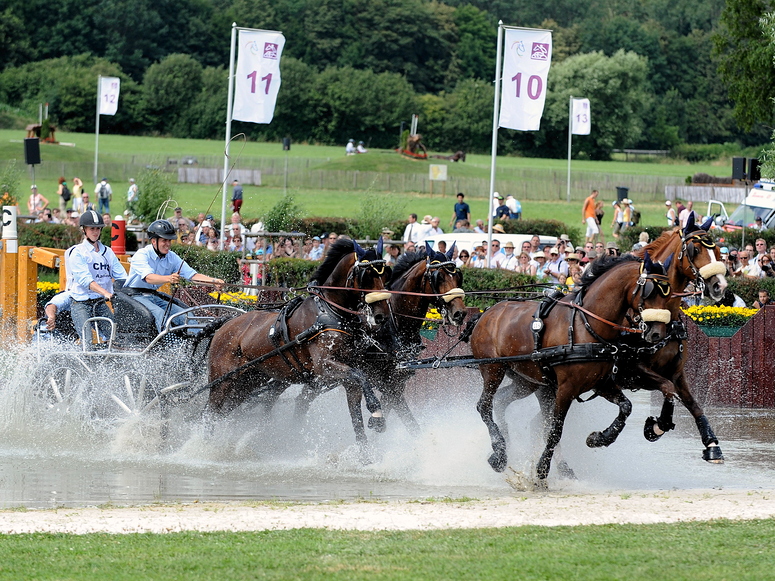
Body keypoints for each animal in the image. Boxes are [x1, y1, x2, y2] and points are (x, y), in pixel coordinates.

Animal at [205, 236, 392, 448]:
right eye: (366, 275)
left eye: (386, 275)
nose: (382, 316)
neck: (330, 311)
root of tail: (223, 325)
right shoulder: (324, 366)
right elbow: (360, 375)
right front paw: (376, 412)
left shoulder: (346, 376)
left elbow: (357, 420)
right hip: (222, 381)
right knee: (210, 414)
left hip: (247, 381)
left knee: (224, 411)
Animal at [472, 254, 672, 484]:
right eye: (649, 290)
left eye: (668, 293)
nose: (657, 334)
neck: (586, 326)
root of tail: (487, 313)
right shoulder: (566, 389)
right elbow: (555, 430)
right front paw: (542, 470)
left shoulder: (601, 384)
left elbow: (626, 407)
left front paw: (601, 438)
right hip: (493, 370)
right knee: (484, 406)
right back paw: (499, 452)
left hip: (527, 380)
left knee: (501, 401)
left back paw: (504, 446)